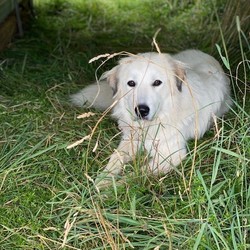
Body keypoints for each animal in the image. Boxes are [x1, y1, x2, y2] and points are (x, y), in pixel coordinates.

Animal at [71, 49, 231, 187]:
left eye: (157, 82)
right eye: (131, 83)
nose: (141, 110)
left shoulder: (171, 156)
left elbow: (135, 175)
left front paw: (110, 189)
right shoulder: (130, 140)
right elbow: (114, 159)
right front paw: (102, 181)